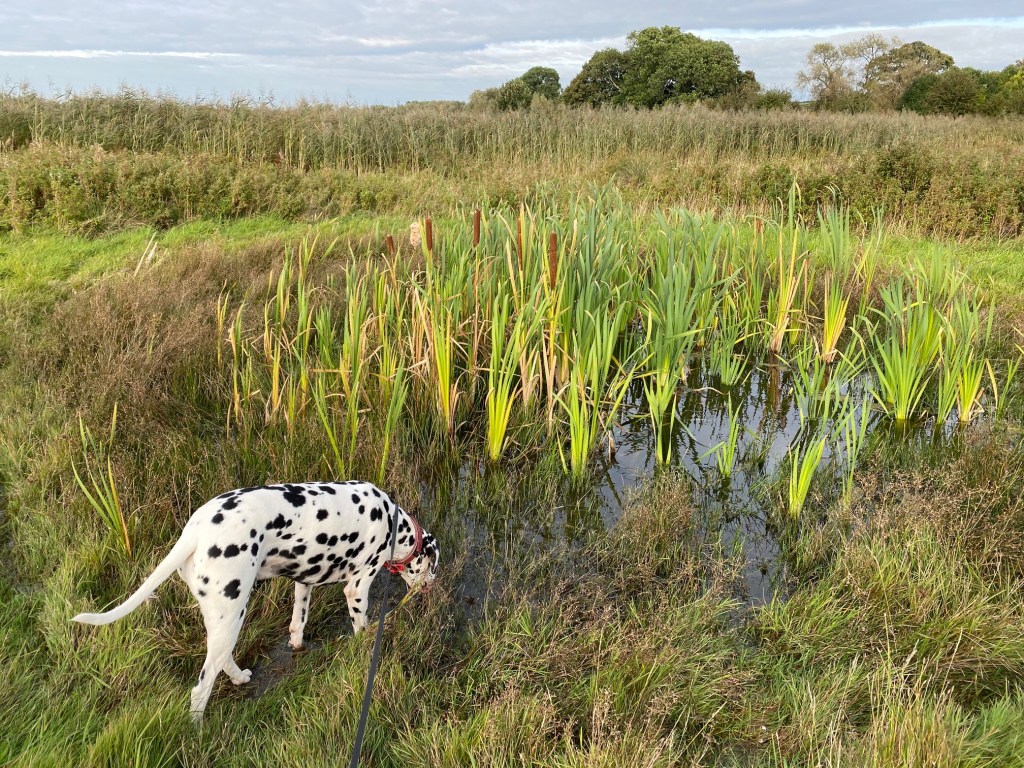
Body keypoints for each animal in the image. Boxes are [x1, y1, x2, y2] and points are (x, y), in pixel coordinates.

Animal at [72, 481, 439, 720]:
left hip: (222, 619)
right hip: (232, 612)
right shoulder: (358, 587)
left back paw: (238, 678)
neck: (394, 524)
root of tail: (195, 529)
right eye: (433, 566)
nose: (432, 589)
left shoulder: (304, 582)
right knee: (201, 688)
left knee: (220, 660)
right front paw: (365, 647)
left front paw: (297, 644)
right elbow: (362, 626)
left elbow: (297, 623)